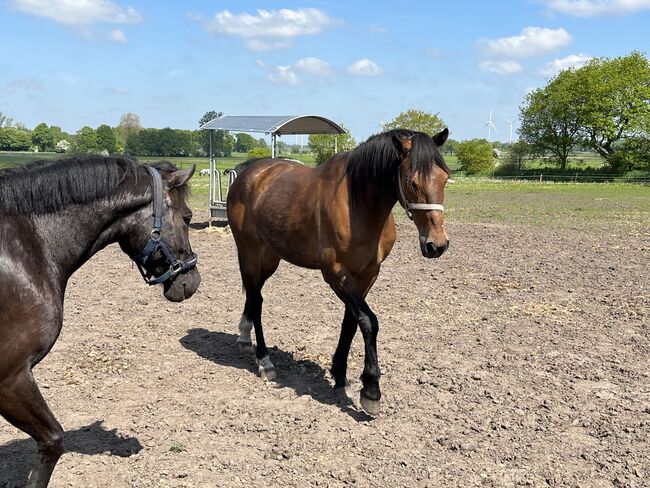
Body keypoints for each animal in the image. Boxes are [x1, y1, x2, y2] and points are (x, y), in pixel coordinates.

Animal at [225, 127, 448, 416]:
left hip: (270, 256)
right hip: (250, 251)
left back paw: (244, 335)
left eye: (445, 178)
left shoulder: (368, 274)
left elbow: (351, 322)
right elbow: (369, 321)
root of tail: (248, 174)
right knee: (256, 299)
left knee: (253, 295)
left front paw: (340, 376)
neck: (358, 203)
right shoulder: (335, 273)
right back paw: (264, 361)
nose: (437, 244)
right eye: (412, 182)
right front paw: (371, 389)